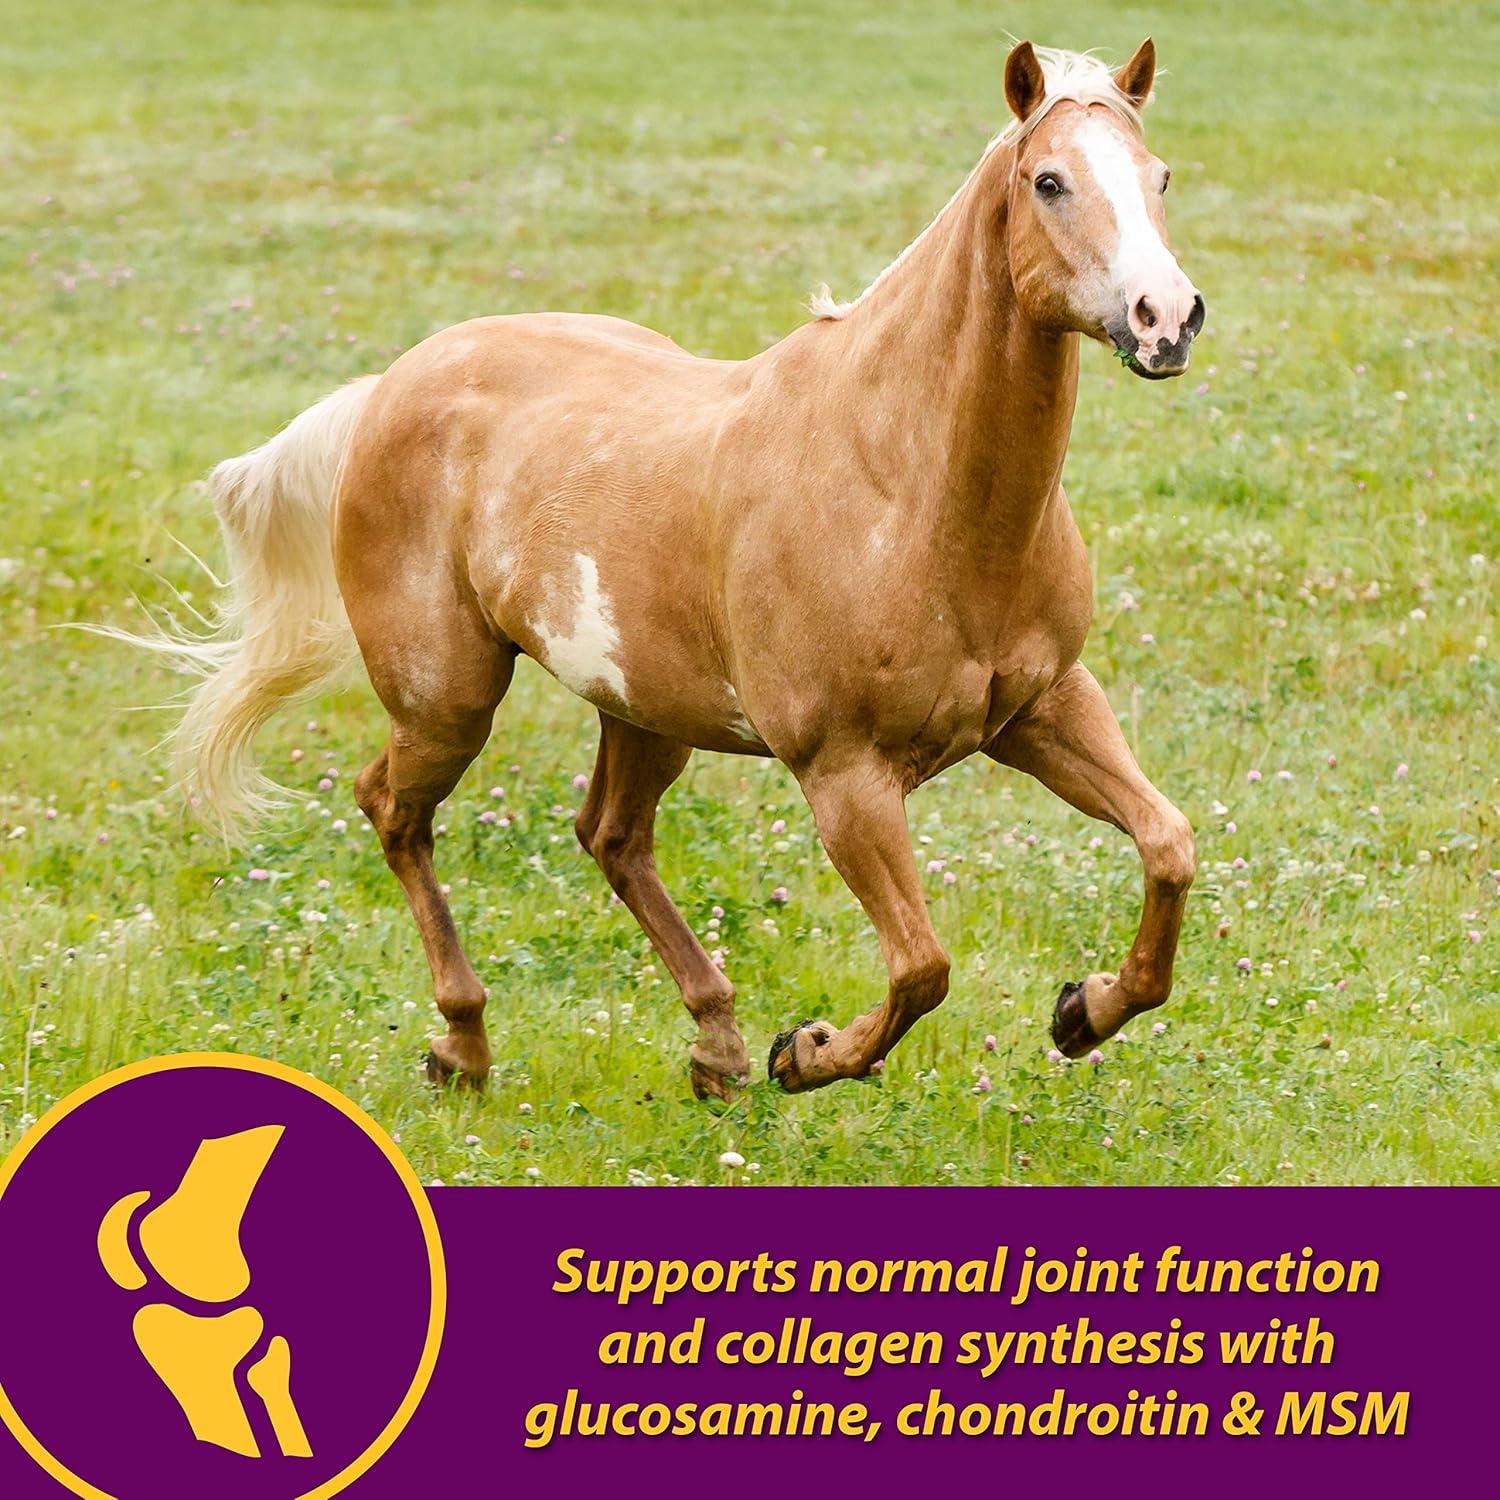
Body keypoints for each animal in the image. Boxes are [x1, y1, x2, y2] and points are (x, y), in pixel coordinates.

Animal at [124, 38, 1204, 1102]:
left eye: (1159, 176)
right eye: (1049, 182)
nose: (1167, 318)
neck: (905, 488)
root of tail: (391, 384)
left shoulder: (1045, 710)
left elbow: (1170, 847)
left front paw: (1082, 1011)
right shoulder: (844, 775)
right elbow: (921, 968)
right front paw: (807, 1054)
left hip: (644, 708)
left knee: (610, 835)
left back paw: (715, 1046)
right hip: (447, 701)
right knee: (394, 809)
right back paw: (466, 1046)